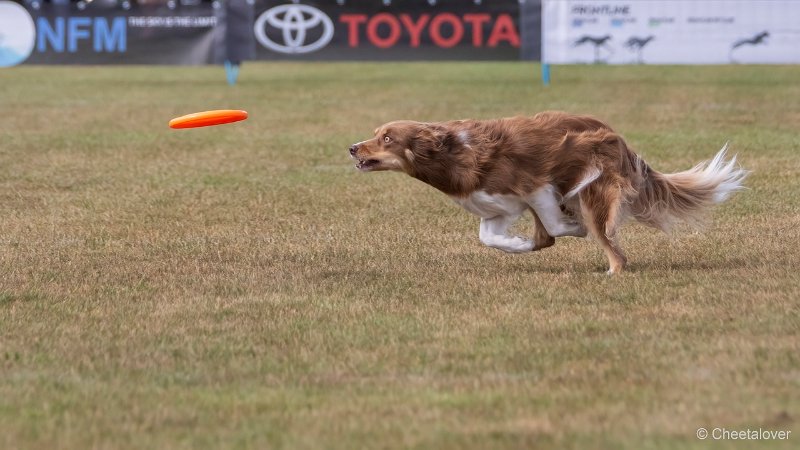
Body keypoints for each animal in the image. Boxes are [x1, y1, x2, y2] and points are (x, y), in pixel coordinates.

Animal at [346, 112, 748, 274]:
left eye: (387, 138)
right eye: (377, 133)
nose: (352, 148)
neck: (453, 153)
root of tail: (619, 138)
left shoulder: (537, 186)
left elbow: (554, 228)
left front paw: (570, 229)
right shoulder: (500, 207)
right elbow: (491, 237)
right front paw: (520, 244)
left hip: (594, 190)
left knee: (612, 246)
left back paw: (611, 270)